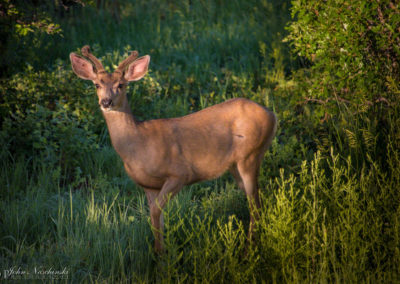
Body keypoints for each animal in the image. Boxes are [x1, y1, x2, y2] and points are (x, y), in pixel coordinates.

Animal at [70, 45, 276, 252]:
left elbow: (156, 212)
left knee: (255, 204)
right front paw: (158, 252)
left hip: (250, 155)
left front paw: (162, 255)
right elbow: (155, 219)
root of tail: (272, 114)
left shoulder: (180, 173)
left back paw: (250, 247)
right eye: (97, 85)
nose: (106, 102)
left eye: (121, 85)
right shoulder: (148, 185)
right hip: (236, 165)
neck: (138, 145)